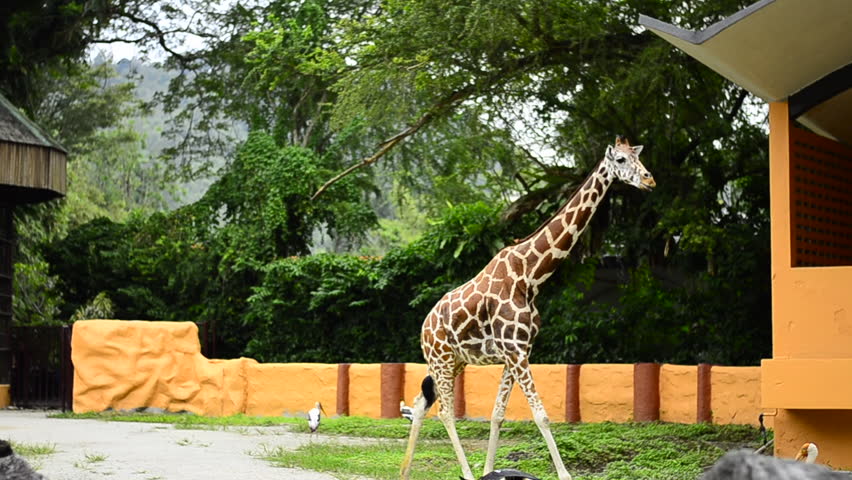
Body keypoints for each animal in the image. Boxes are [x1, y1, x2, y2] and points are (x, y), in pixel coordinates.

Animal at [399, 136, 655, 480]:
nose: (649, 180)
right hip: (441, 359)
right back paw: (463, 473)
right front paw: (564, 474)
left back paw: (405, 471)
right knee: (445, 412)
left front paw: (491, 470)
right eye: (620, 160)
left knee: (420, 402)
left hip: (454, 361)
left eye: (636, 157)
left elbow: (497, 414)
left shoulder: (516, 352)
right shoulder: (516, 352)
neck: (531, 276)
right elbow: (541, 415)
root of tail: (424, 327)